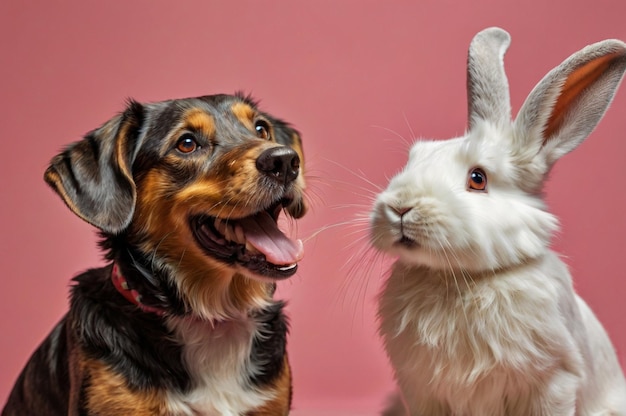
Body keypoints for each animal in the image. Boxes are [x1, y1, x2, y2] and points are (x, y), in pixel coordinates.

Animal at [368, 27, 624, 414]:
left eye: (478, 179)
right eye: (412, 160)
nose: (399, 208)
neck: (460, 277)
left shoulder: (553, 380)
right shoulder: (420, 391)